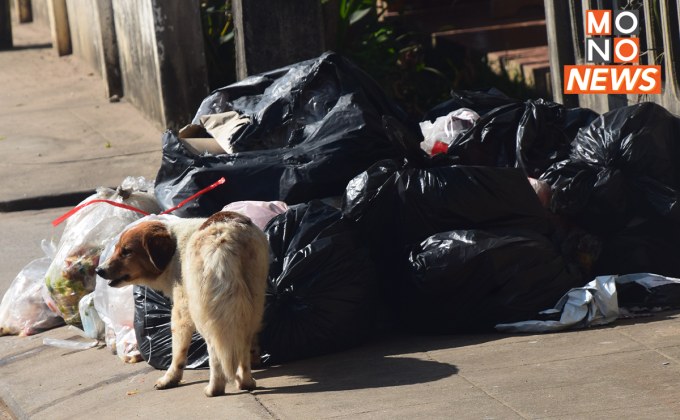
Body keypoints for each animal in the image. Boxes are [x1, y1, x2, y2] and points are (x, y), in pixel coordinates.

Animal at [96, 212, 270, 398]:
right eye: (117, 249)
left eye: (126, 251)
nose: (98, 270)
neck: (174, 249)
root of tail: (222, 235)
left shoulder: (181, 311)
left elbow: (178, 352)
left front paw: (170, 378)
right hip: (254, 297)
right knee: (244, 339)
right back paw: (245, 381)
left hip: (203, 312)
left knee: (214, 351)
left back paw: (214, 389)